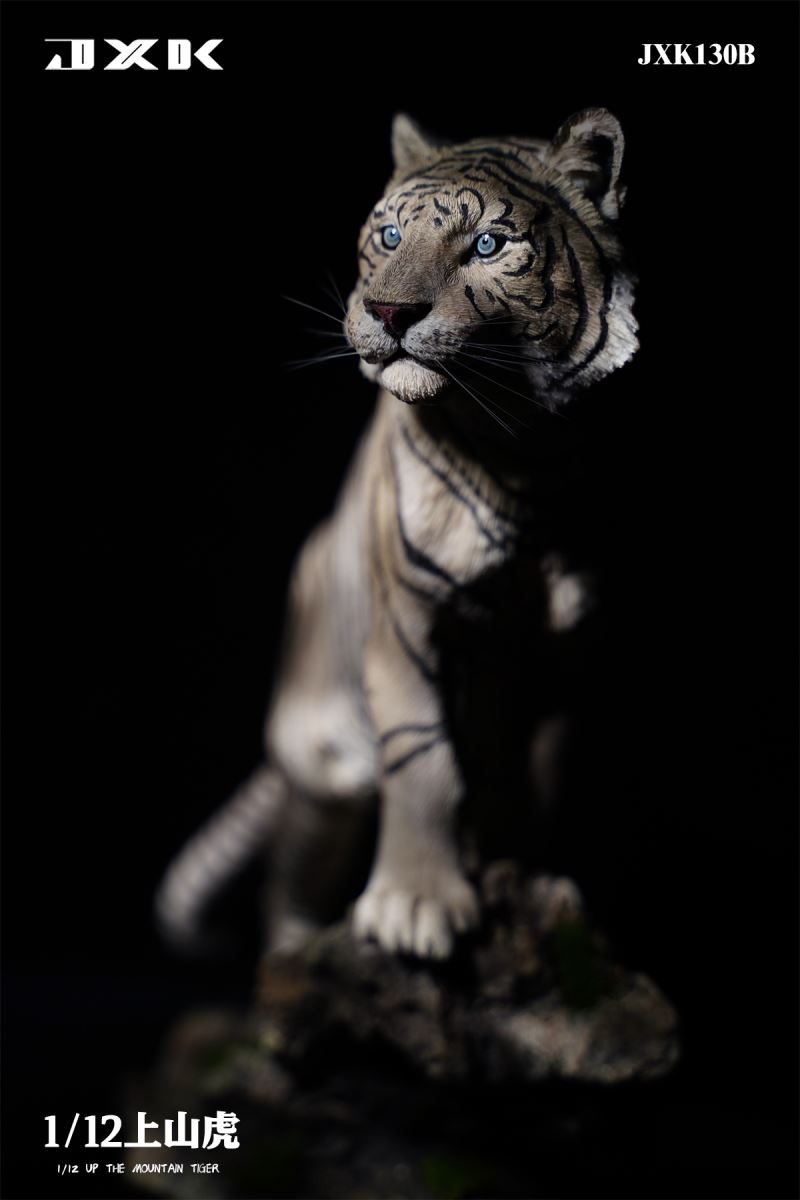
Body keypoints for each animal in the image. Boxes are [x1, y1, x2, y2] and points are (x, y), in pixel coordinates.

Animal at [156, 108, 638, 961]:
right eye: (387, 236)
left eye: (488, 245)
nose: (387, 312)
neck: (520, 451)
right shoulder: (408, 625)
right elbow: (424, 762)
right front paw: (415, 907)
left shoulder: (564, 652)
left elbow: (537, 776)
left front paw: (533, 885)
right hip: (324, 750)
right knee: (295, 870)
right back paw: (294, 954)